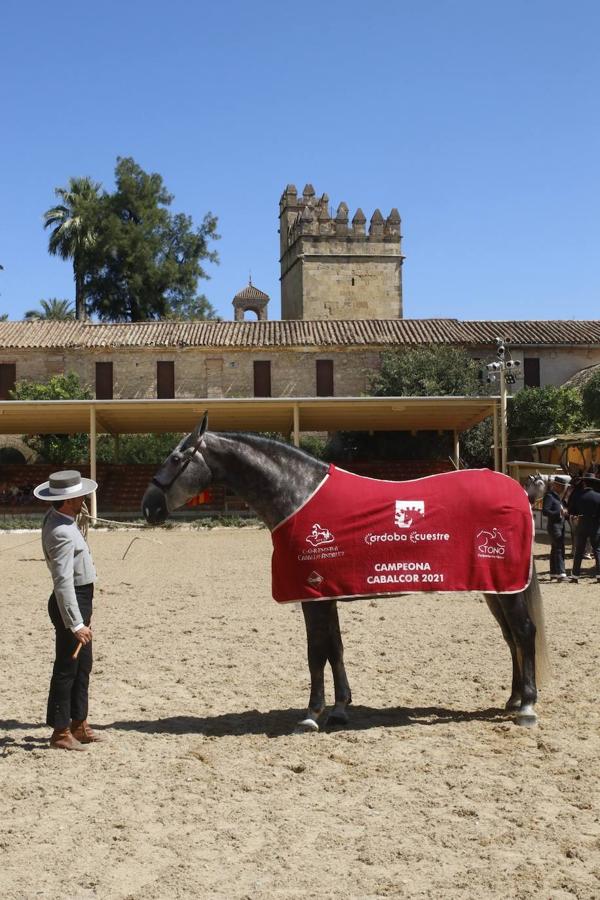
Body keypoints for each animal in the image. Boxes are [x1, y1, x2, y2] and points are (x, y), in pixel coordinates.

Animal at [143, 414, 552, 732]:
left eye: (176, 457)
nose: (149, 507)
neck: (299, 494)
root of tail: (519, 491)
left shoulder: (312, 596)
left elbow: (316, 652)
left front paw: (311, 713)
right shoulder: (327, 594)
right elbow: (335, 649)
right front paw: (339, 709)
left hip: (507, 587)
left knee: (524, 632)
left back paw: (527, 707)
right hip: (496, 588)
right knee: (511, 638)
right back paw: (513, 698)